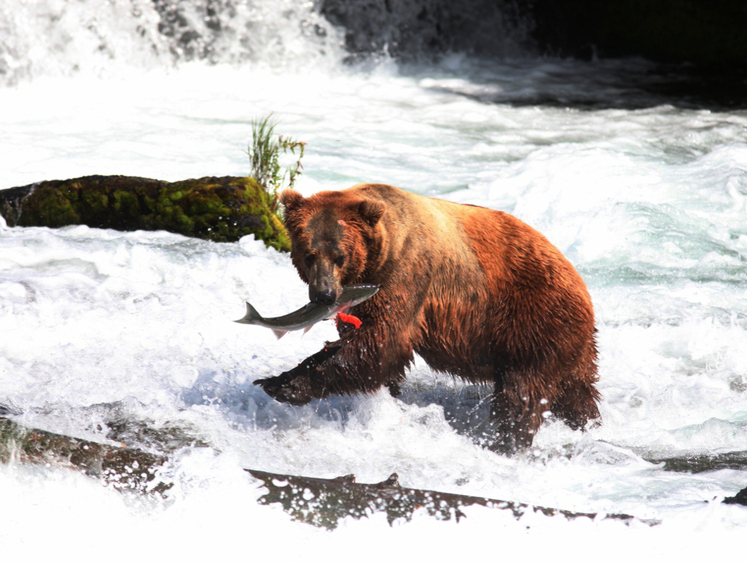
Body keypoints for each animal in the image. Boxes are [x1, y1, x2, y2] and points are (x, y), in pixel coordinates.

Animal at [256, 182, 600, 452]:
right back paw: (587, 424)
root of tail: (582, 285)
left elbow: (381, 343)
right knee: (577, 392)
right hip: (567, 343)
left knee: (522, 392)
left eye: (340, 255)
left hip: (533, 319)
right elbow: (365, 346)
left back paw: (506, 442)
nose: (324, 295)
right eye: (308, 253)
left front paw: (281, 382)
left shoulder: (407, 274)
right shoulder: (363, 297)